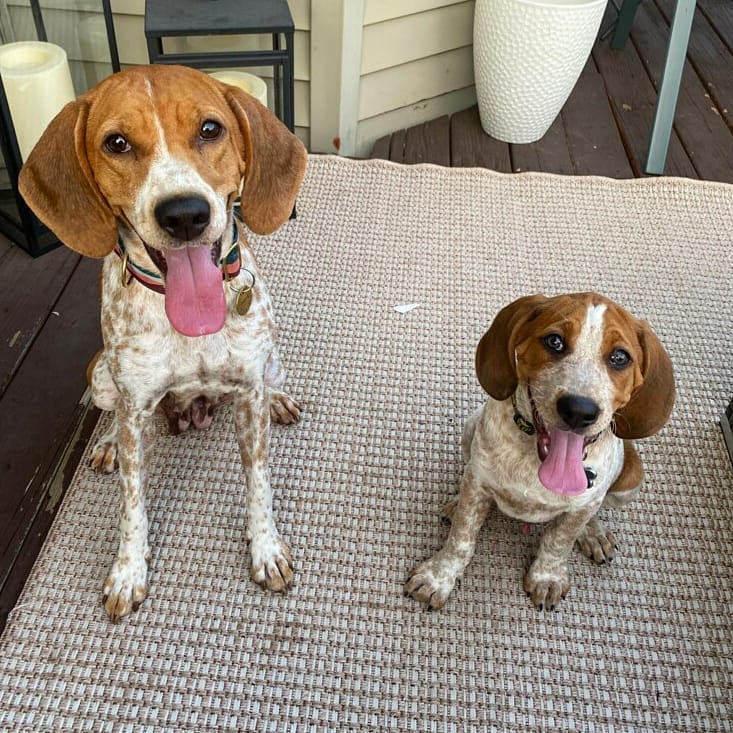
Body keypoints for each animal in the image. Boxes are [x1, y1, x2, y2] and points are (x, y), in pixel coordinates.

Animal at [20, 64, 306, 624]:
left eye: (211, 129)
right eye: (116, 142)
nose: (185, 215)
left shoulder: (248, 394)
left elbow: (258, 482)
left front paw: (265, 548)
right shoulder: (134, 408)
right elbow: (132, 504)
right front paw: (128, 571)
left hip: (272, 363)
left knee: (273, 381)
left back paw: (282, 399)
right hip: (101, 376)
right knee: (111, 413)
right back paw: (107, 444)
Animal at [406, 292, 676, 612]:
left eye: (620, 358)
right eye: (554, 341)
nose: (579, 410)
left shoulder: (582, 506)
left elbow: (559, 540)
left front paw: (547, 577)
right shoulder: (479, 481)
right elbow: (461, 537)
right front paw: (439, 576)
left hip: (631, 479)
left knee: (593, 511)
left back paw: (594, 533)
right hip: (469, 428)